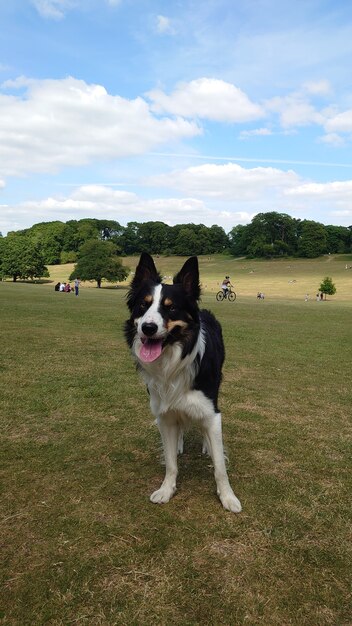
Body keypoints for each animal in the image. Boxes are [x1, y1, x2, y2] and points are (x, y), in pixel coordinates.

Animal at [124, 251, 242, 510]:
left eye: (171, 308)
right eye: (143, 305)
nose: (148, 328)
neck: (172, 362)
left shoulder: (210, 410)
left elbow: (220, 467)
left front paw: (228, 497)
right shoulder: (164, 413)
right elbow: (170, 463)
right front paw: (166, 490)